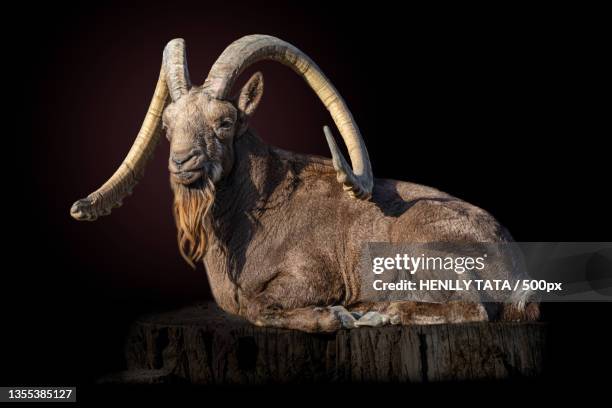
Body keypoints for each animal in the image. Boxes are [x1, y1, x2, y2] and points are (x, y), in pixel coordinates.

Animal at [70, 35, 536, 332]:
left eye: (224, 122)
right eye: (168, 124)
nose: (183, 162)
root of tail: (518, 270)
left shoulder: (311, 278)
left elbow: (259, 306)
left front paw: (337, 316)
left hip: (424, 251)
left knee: (474, 309)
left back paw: (377, 314)